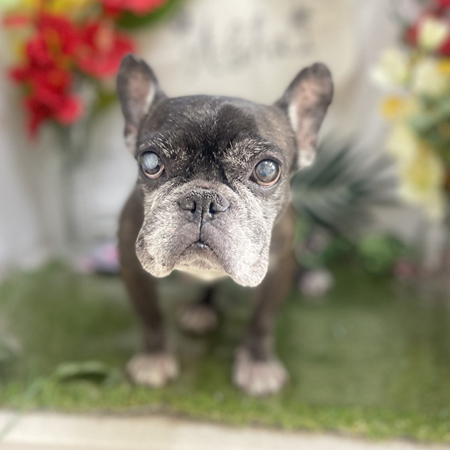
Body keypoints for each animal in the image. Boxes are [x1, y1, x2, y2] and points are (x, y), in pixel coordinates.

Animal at [117, 54, 333, 396]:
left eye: (267, 170)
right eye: (150, 162)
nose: (203, 201)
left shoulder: (279, 268)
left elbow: (262, 320)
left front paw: (257, 363)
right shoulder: (131, 264)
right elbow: (149, 316)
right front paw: (153, 358)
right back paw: (202, 308)